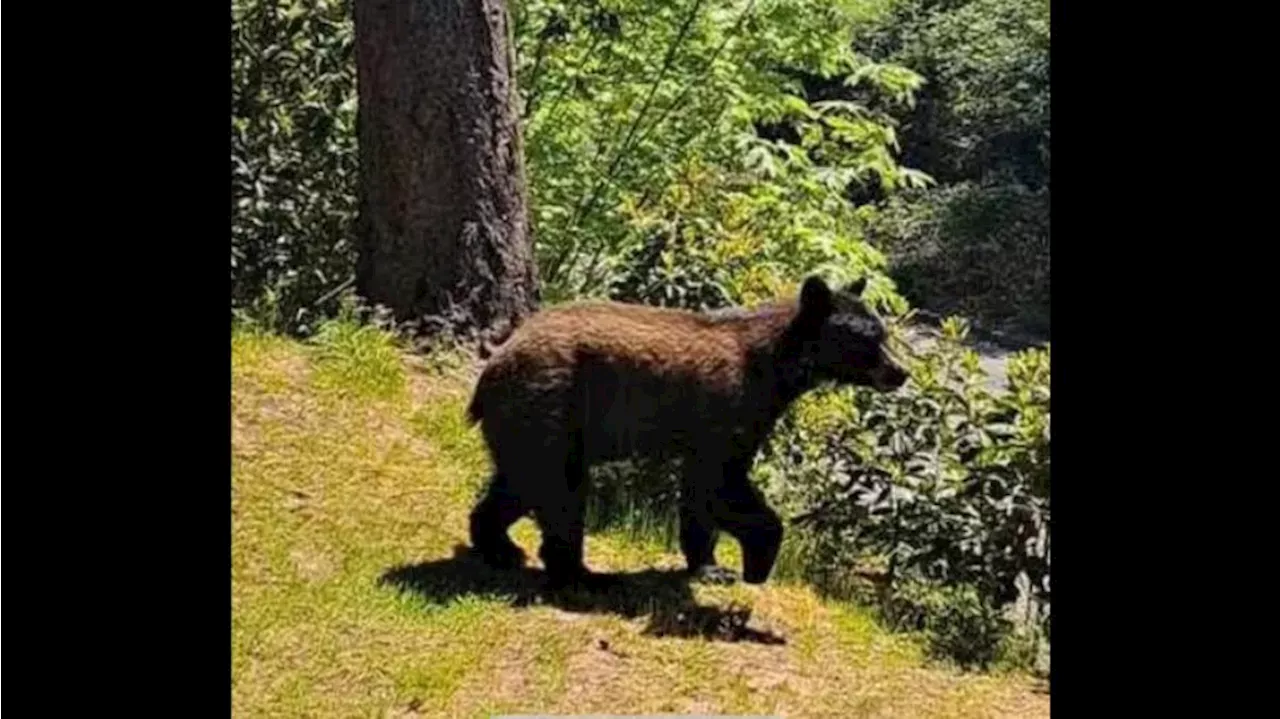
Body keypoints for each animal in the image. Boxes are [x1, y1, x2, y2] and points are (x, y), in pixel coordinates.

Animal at [465, 271, 906, 585]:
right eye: (869, 340)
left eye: (882, 333)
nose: (900, 372)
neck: (776, 368)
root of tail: (492, 368)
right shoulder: (730, 405)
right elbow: (721, 481)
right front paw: (756, 558)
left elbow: (701, 494)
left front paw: (710, 566)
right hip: (551, 404)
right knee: (558, 488)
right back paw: (578, 571)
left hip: (532, 422)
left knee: (518, 484)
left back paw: (500, 547)